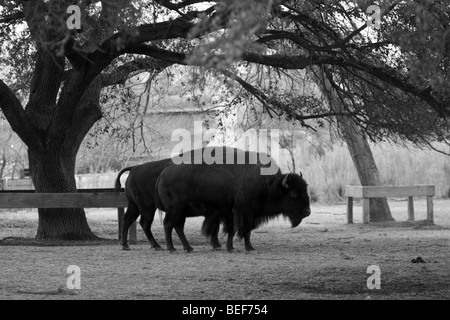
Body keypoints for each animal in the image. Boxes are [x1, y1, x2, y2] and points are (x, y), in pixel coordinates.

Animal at [155, 146, 310, 251]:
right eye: (293, 194)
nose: (307, 212)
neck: (267, 183)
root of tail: (162, 175)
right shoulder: (245, 212)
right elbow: (244, 231)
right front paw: (248, 248)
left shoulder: (231, 213)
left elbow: (232, 230)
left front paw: (231, 248)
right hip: (175, 210)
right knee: (169, 225)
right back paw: (172, 249)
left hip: (181, 212)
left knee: (177, 227)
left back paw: (188, 248)